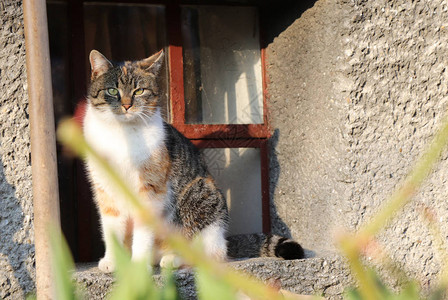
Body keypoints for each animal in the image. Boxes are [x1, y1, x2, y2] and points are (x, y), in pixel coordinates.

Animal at [83, 49, 304, 274]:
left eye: (139, 91)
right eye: (112, 91)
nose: (127, 105)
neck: (121, 134)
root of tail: (224, 240)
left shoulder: (150, 190)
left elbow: (143, 233)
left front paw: (137, 267)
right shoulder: (105, 190)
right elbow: (111, 228)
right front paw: (113, 261)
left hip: (200, 195)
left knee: (208, 254)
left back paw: (173, 259)